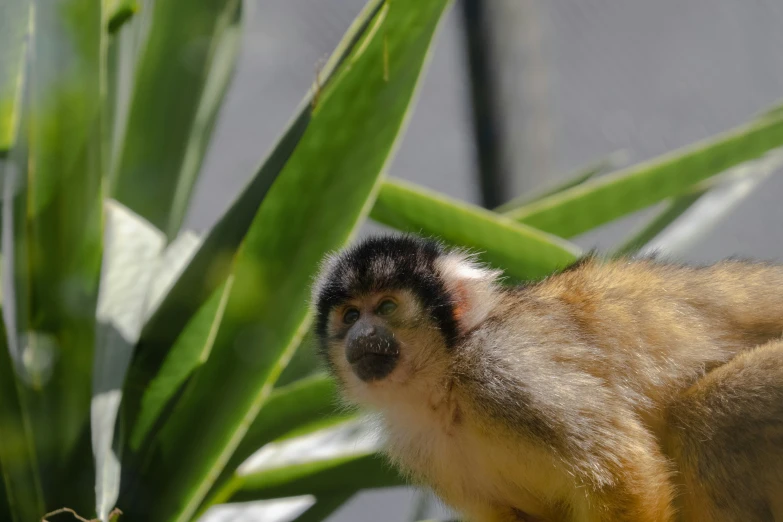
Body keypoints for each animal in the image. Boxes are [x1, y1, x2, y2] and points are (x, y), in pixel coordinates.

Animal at [312, 233, 783, 520]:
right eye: (350, 315)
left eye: (386, 307)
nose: (362, 335)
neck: (445, 386)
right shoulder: (416, 444)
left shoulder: (505, 374)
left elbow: (625, 473)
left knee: (706, 419)